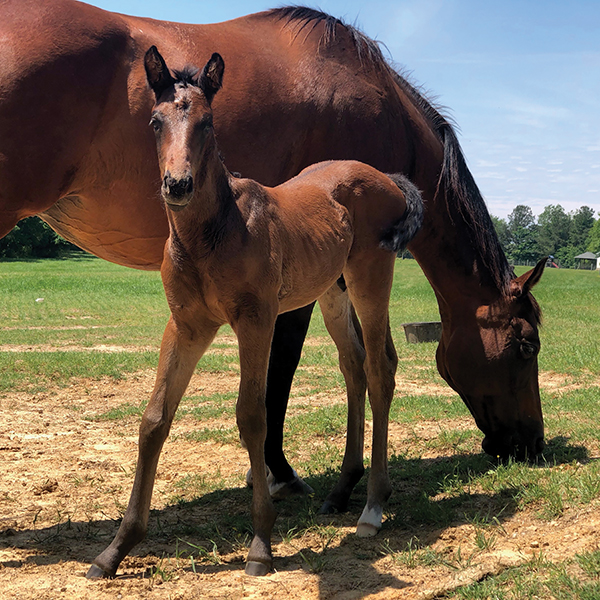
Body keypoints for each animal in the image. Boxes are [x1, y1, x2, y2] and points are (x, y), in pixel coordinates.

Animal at [0, 0, 544, 576]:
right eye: (526, 344)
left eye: (209, 124)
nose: (532, 444)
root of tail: (387, 181)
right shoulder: (201, 320)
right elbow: (169, 415)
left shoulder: (265, 310)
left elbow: (259, 405)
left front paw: (271, 509)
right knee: (371, 366)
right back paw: (365, 498)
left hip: (361, 278)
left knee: (378, 368)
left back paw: (371, 503)